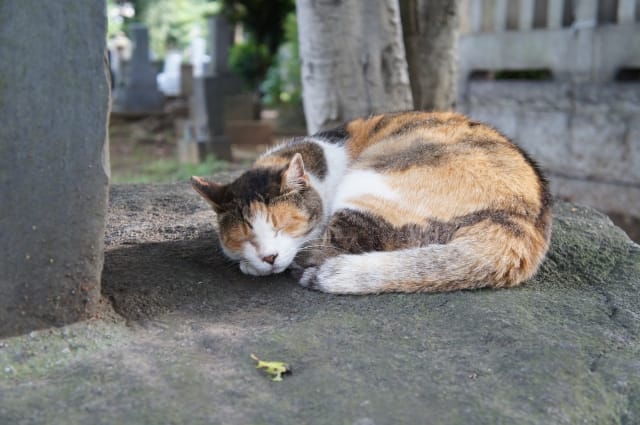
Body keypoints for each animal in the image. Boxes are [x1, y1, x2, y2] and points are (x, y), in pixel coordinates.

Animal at [190, 111, 552, 294]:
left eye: (284, 225)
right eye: (245, 236)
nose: (268, 257)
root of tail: (519, 220)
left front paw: (253, 266)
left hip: (371, 182)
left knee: (344, 243)